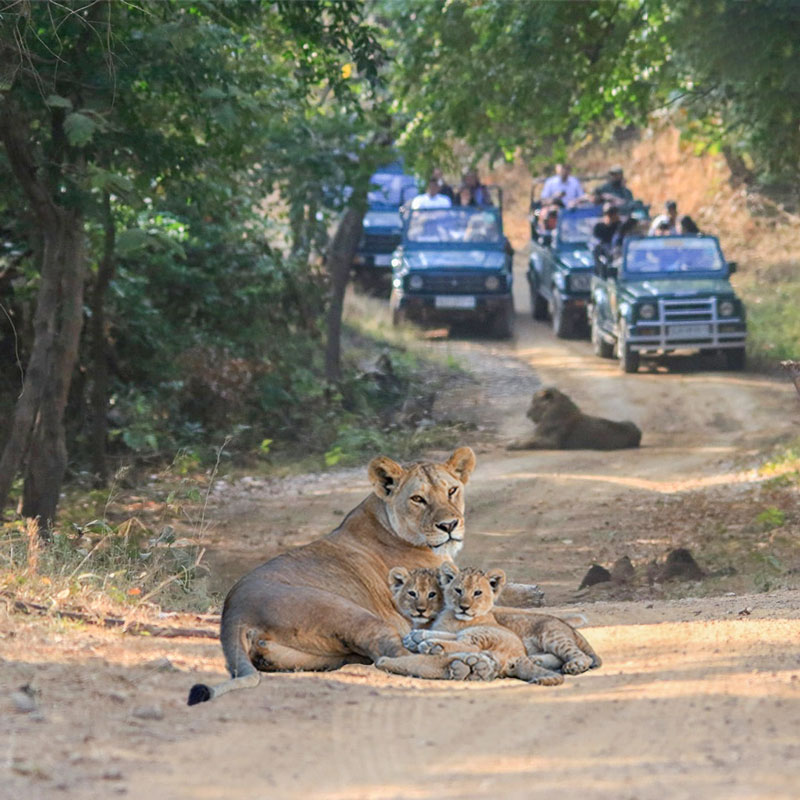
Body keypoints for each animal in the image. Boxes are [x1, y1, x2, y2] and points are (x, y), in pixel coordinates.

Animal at [188, 447, 543, 704]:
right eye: (418, 499)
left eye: (452, 490)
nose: (449, 526)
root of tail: (234, 610)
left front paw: (534, 591)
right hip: (352, 614)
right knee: (391, 655)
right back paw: (466, 664)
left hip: (317, 655)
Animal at [394, 565, 602, 677]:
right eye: (458, 590)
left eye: (477, 593)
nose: (464, 607)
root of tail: (568, 628)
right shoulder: (456, 629)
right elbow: (444, 633)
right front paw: (415, 636)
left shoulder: (470, 629)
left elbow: (454, 638)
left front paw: (421, 639)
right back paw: (537, 660)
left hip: (552, 636)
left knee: (580, 656)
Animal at [507, 387, 641, 450]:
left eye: (534, 403)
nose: (527, 414)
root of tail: (638, 431)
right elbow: (526, 438)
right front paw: (513, 442)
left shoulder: (553, 443)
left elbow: (530, 442)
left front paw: (512, 445)